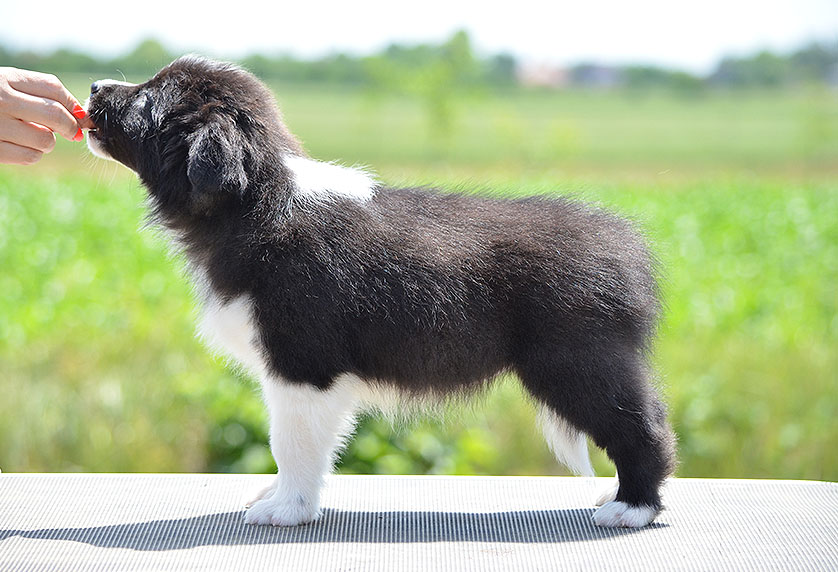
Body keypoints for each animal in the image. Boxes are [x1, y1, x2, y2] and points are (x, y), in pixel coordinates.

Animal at [85, 56, 676, 528]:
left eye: (148, 98)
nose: (92, 87)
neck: (255, 203)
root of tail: (628, 248)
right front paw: (279, 497)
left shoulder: (303, 364)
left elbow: (290, 443)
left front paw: (287, 508)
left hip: (577, 362)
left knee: (644, 426)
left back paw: (632, 506)